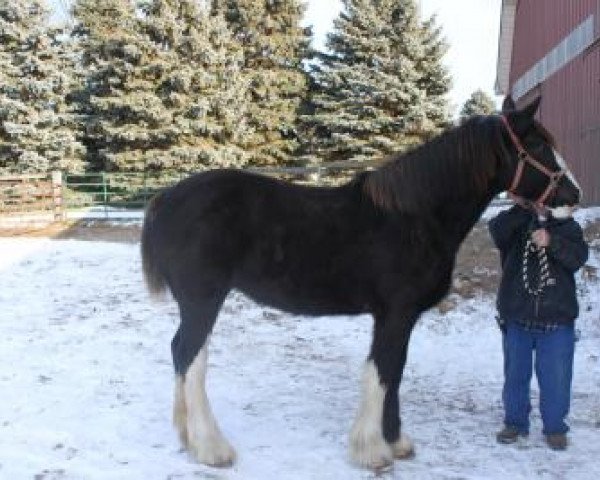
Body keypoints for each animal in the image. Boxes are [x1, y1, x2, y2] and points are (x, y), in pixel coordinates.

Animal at [141, 95, 580, 470]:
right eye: (537, 145)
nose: (573, 195)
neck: (416, 217)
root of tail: (166, 198)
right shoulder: (395, 314)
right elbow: (382, 372)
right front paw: (373, 451)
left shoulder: (400, 318)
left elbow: (395, 372)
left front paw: (396, 442)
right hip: (204, 300)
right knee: (190, 356)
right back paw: (211, 447)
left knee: (182, 354)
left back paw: (187, 436)